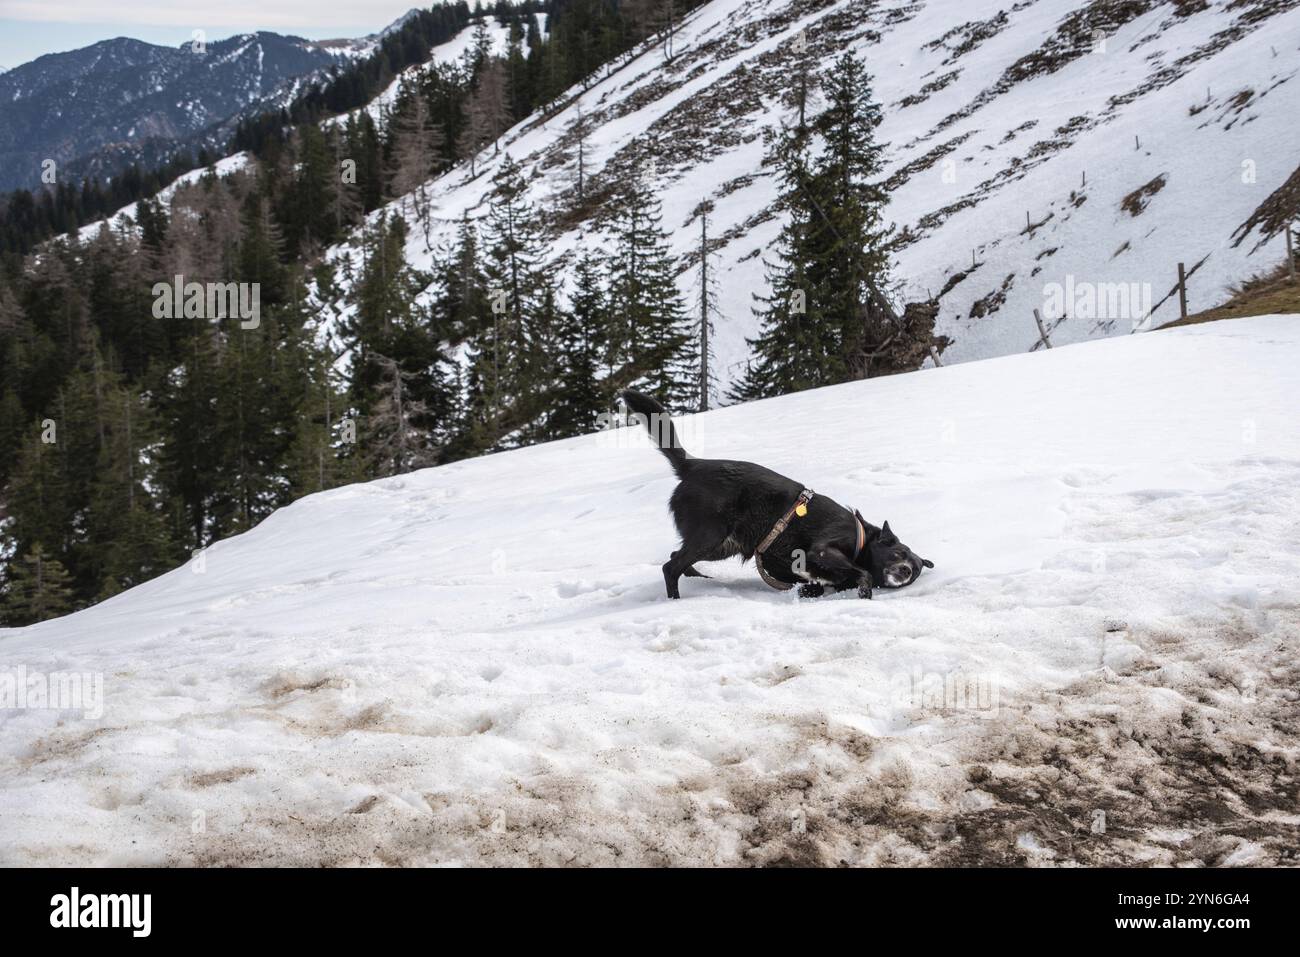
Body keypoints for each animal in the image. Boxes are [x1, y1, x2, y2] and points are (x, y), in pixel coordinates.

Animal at [621, 390, 935, 598]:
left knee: (677, 558)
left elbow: (815, 585)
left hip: (721, 545)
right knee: (670, 567)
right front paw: (864, 589)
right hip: (710, 536)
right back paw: (675, 598)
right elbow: (862, 573)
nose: (906, 571)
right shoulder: (823, 548)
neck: (863, 544)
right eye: (898, 553)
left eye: (916, 569)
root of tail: (692, 464)